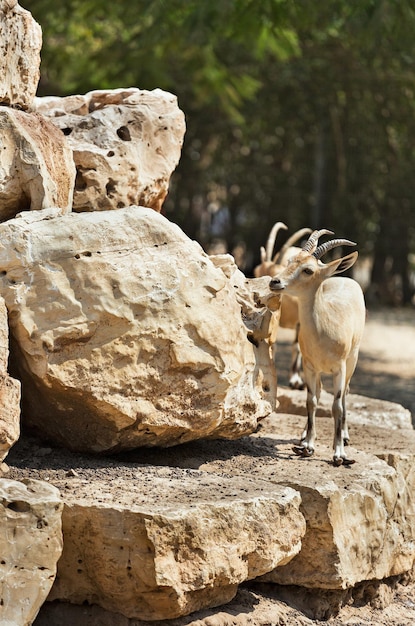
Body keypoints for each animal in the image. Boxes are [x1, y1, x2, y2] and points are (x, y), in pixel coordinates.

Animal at [268, 228, 366, 464]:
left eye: (308, 270)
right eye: (290, 261)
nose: (275, 281)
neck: (324, 328)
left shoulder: (340, 368)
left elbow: (336, 406)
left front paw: (339, 454)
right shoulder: (310, 367)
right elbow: (311, 401)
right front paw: (307, 446)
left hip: (352, 361)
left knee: (346, 394)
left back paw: (344, 436)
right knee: (319, 393)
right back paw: (304, 437)